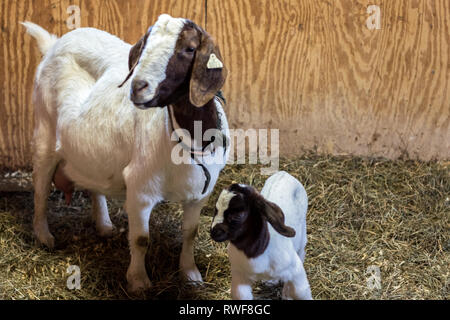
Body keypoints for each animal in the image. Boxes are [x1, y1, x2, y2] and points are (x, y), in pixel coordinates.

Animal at [22, 13, 229, 294]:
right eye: (145, 45)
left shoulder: (199, 194)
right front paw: (139, 281)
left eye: (189, 49)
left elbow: (191, 233)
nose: (138, 86)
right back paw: (44, 236)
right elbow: (141, 239)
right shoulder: (140, 187)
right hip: (43, 131)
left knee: (93, 183)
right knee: (41, 189)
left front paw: (190, 274)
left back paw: (104, 226)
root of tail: (54, 43)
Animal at [212, 172, 312, 300]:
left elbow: (300, 292)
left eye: (237, 214)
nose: (214, 232)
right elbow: (240, 295)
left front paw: (287, 293)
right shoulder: (239, 275)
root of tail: (284, 173)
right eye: (216, 209)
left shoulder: (295, 268)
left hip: (302, 232)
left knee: (301, 251)